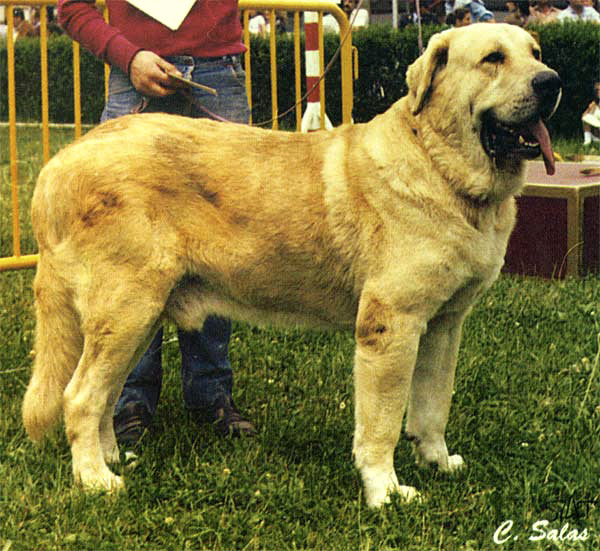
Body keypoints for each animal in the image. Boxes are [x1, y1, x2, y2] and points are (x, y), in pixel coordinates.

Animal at [22, 25, 556, 508]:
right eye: (493, 59)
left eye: (535, 53)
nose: (550, 82)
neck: (438, 164)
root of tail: (60, 163)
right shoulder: (391, 327)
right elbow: (381, 424)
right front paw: (385, 492)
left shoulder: (445, 325)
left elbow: (432, 407)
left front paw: (438, 462)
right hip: (127, 310)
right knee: (79, 397)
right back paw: (95, 480)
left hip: (136, 318)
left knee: (104, 395)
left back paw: (112, 459)